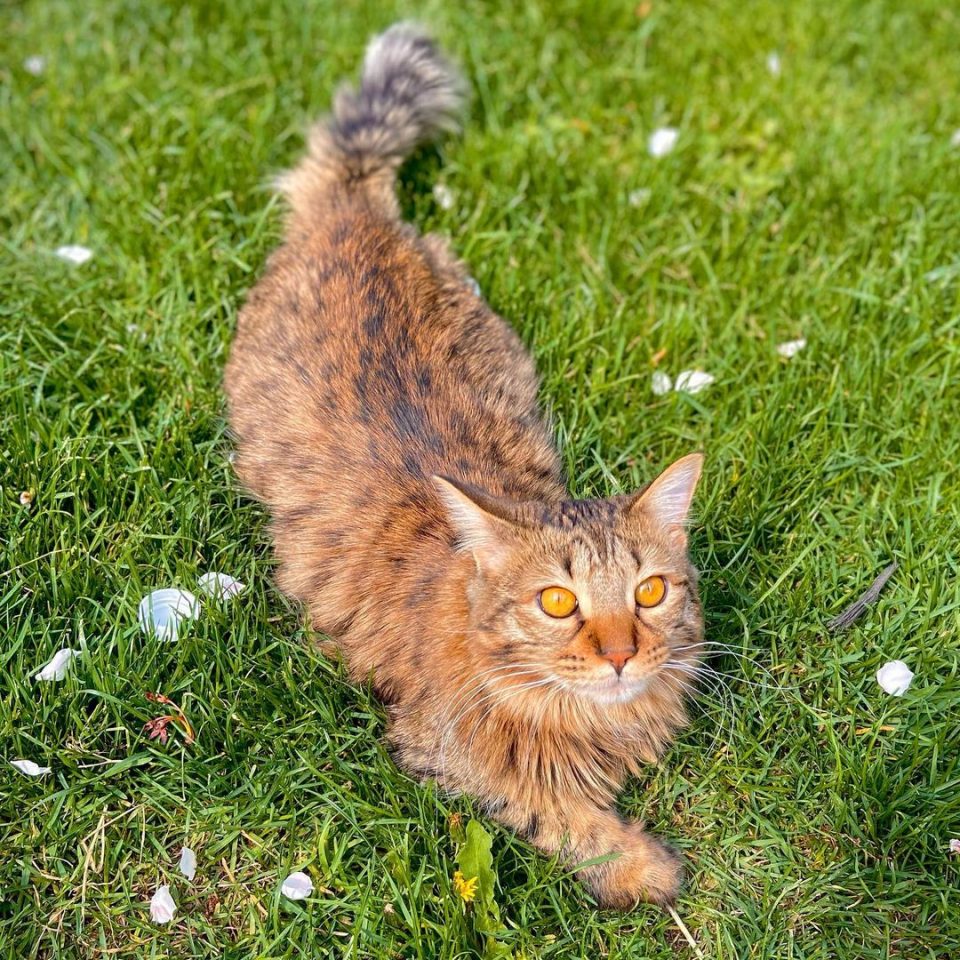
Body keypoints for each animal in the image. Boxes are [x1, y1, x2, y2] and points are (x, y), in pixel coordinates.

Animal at [225, 20, 704, 908]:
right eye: (557, 602)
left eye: (650, 593)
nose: (621, 654)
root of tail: (352, 207)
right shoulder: (443, 746)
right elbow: (558, 811)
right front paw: (641, 867)